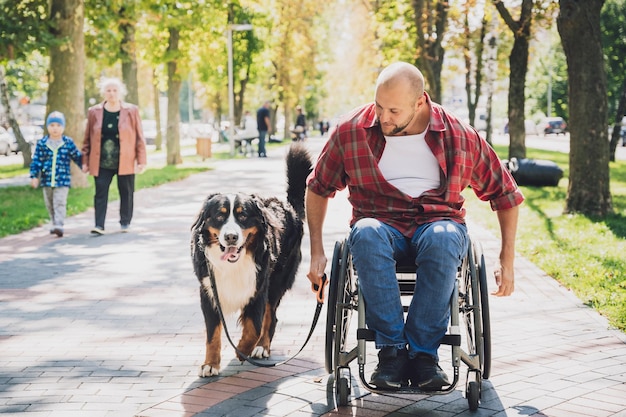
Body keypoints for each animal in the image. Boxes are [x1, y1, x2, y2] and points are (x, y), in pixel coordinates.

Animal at [189, 144, 312, 376]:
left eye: (243, 215)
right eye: (220, 216)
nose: (231, 237)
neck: (233, 265)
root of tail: (289, 207)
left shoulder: (258, 288)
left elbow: (254, 327)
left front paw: (243, 351)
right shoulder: (209, 291)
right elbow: (212, 334)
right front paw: (210, 364)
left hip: (277, 282)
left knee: (270, 317)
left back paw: (261, 348)